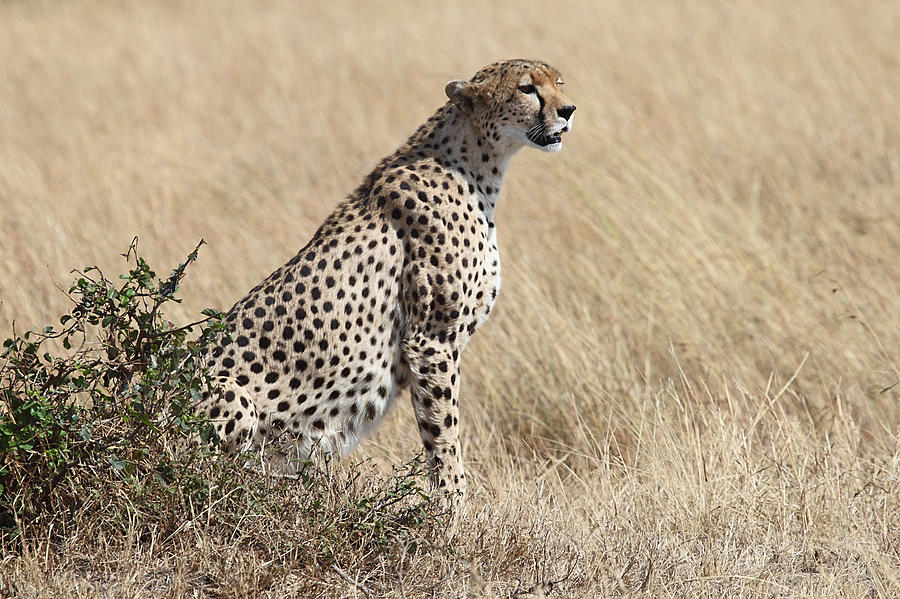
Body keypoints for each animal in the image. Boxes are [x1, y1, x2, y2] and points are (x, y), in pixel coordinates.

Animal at [200, 59, 572, 502]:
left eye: (559, 83)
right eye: (527, 88)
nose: (568, 110)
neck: (477, 164)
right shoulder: (431, 340)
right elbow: (444, 433)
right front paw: (452, 507)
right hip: (230, 394)